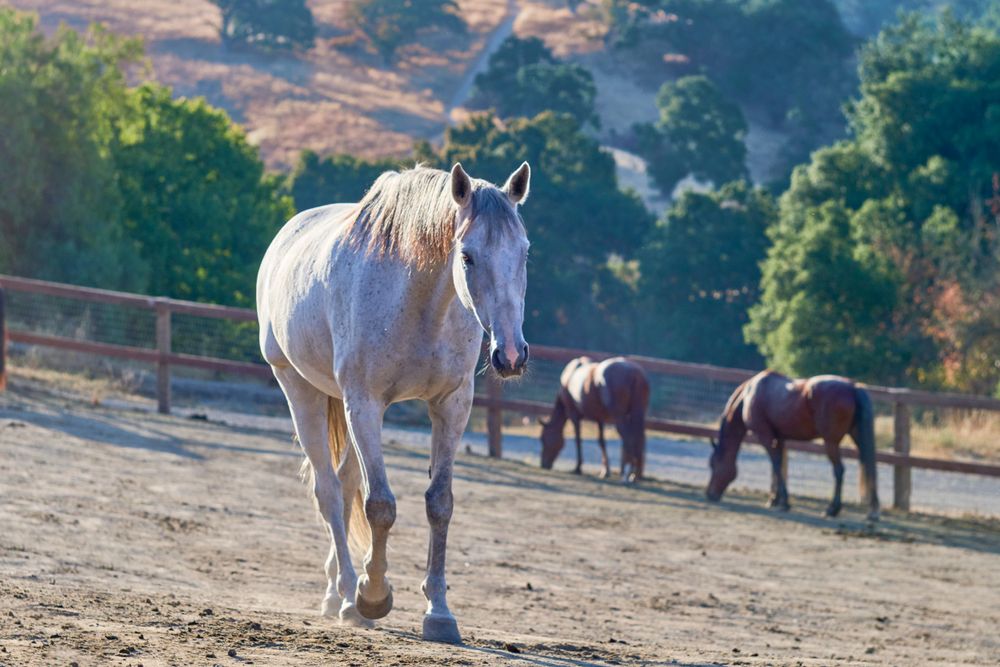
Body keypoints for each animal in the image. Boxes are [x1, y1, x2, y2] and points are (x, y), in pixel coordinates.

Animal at [257, 162, 532, 644]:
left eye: (525, 254)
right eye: (467, 256)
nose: (512, 355)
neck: (419, 302)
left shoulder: (451, 406)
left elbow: (439, 503)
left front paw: (439, 612)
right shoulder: (365, 403)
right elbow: (380, 505)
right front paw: (373, 594)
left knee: (345, 484)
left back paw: (335, 592)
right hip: (299, 388)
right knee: (330, 492)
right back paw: (348, 596)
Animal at [705, 370, 880, 521]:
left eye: (713, 464)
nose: (709, 494)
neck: (749, 395)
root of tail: (853, 387)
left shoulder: (764, 435)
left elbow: (776, 464)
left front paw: (783, 502)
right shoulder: (779, 438)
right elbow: (776, 466)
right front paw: (774, 499)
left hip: (831, 442)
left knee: (839, 470)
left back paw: (832, 509)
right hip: (857, 436)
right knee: (869, 466)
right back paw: (872, 512)